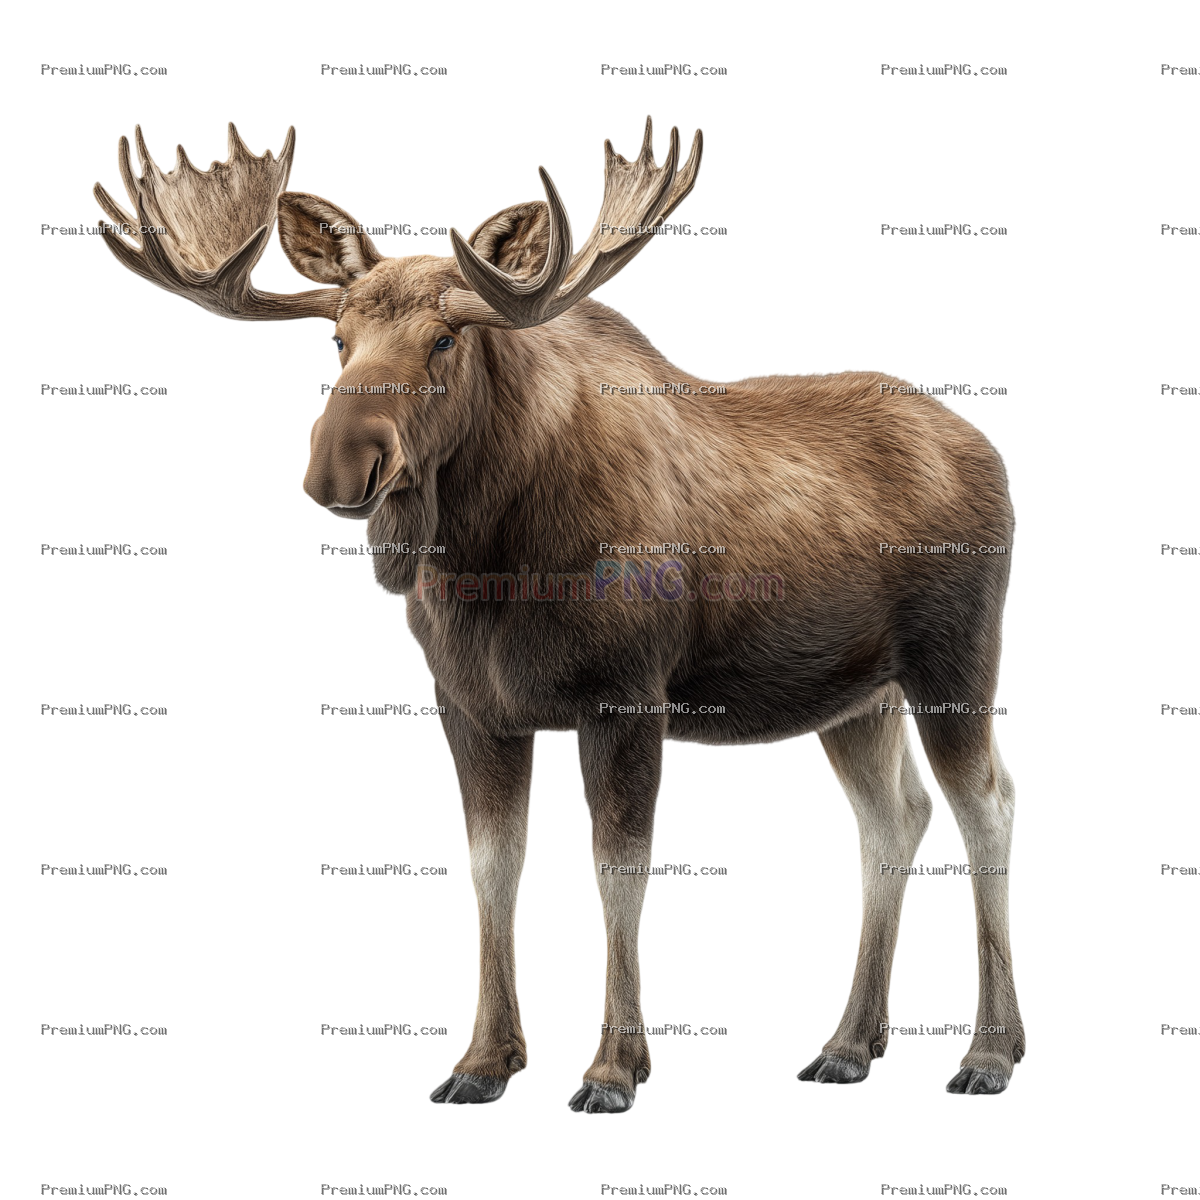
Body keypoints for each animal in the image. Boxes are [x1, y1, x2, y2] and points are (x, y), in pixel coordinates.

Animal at [92, 117, 1025, 1112]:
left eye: (445, 341)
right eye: (337, 340)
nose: (340, 466)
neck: (490, 566)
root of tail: (996, 455)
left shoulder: (627, 699)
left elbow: (618, 871)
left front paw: (614, 1068)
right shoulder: (472, 708)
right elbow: (494, 868)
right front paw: (482, 1061)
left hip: (956, 661)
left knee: (988, 805)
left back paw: (989, 1052)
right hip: (853, 696)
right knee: (894, 817)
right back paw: (850, 1043)